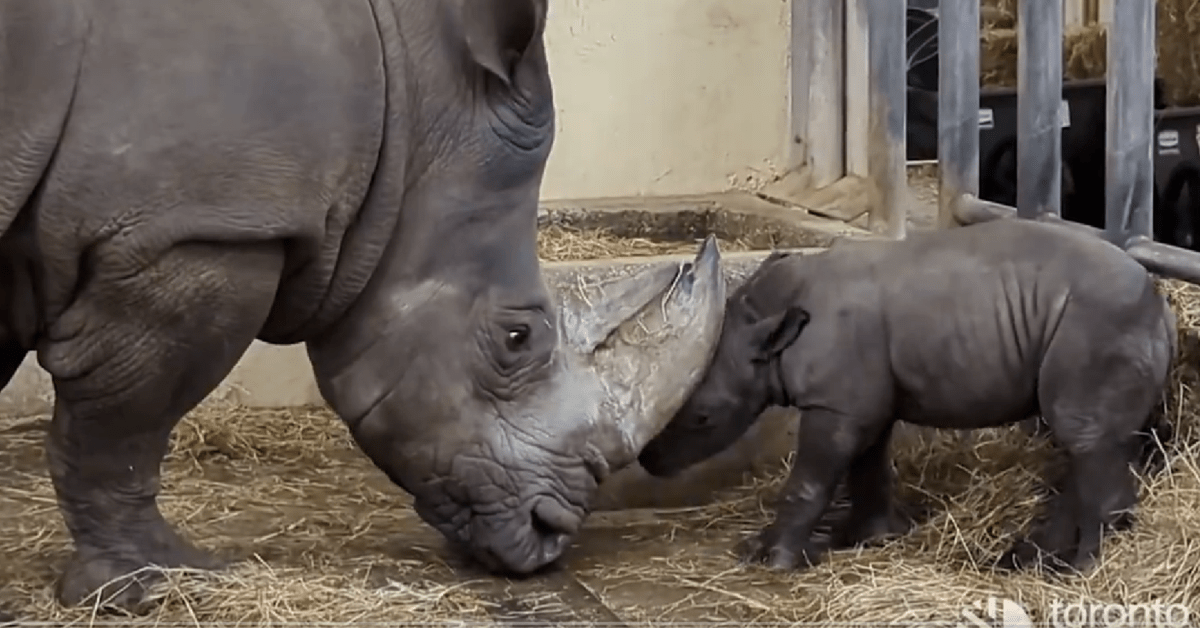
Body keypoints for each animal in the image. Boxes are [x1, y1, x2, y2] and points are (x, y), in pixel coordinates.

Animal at [0, 0, 720, 612]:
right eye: (517, 338)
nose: (551, 534)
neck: (411, 111)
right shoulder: (202, 231)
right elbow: (123, 429)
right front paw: (157, 582)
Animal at [643, 218, 1176, 578]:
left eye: (703, 417)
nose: (650, 461)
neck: (765, 324)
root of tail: (1161, 306)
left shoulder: (834, 405)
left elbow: (810, 480)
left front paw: (771, 560)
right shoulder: (862, 402)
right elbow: (867, 469)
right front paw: (867, 538)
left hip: (1098, 324)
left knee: (1086, 438)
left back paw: (1077, 572)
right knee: (1086, 445)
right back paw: (1030, 560)